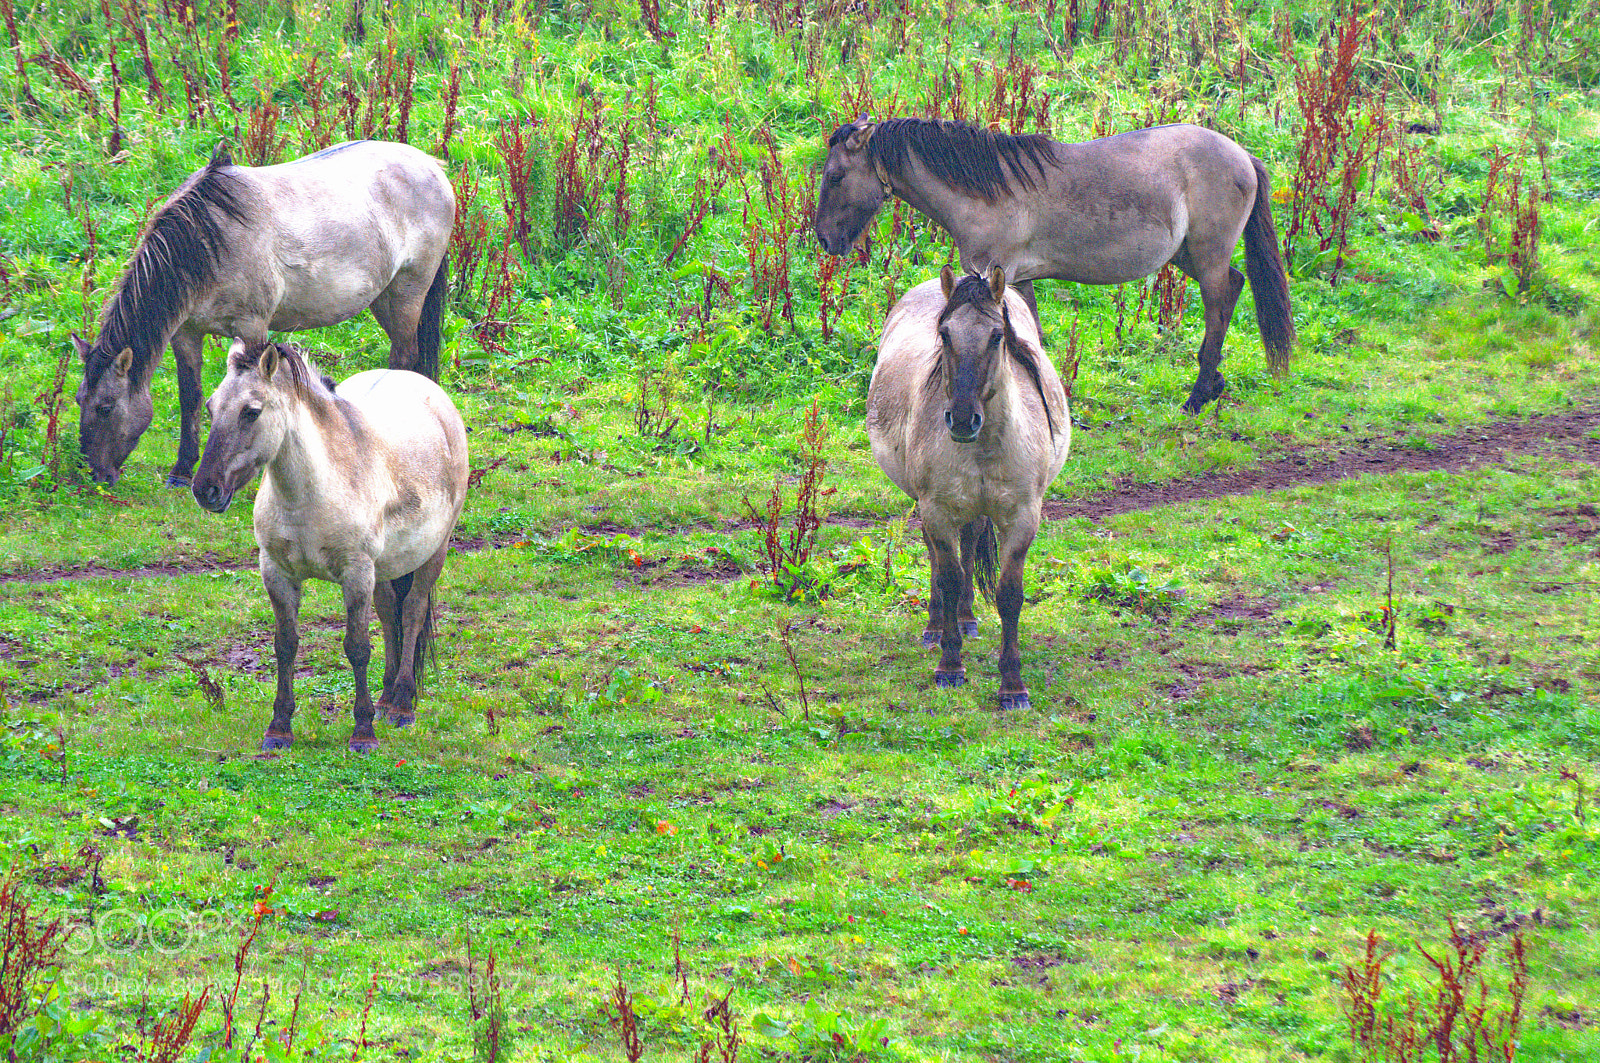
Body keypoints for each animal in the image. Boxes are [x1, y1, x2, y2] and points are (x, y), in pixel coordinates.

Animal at [73, 139, 455, 487]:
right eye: (79, 400)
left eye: (105, 407)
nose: (97, 475)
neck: (208, 241)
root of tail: (434, 167)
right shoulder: (187, 333)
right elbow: (189, 396)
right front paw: (182, 470)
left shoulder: (252, 327)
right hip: (384, 299)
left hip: (407, 293)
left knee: (404, 357)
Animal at [191, 340, 468, 753]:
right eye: (211, 407)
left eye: (251, 412)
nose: (205, 490)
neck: (310, 494)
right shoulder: (277, 573)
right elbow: (286, 644)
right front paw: (279, 728)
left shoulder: (356, 575)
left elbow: (357, 647)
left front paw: (363, 732)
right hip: (385, 567)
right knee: (389, 613)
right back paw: (386, 699)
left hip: (433, 552)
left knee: (412, 613)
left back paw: (402, 705)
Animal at [816, 117, 1295, 414]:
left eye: (836, 177)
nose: (824, 239)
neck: (984, 192)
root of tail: (1243, 156)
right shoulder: (1017, 280)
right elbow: (1034, 337)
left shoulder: (994, 277)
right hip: (1190, 255)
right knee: (1235, 286)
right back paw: (1213, 386)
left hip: (1207, 257)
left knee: (1218, 307)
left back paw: (1196, 398)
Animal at [868, 265, 1071, 709]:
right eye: (944, 334)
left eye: (997, 335)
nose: (962, 419)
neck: (984, 448)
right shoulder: (938, 510)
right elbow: (949, 576)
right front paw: (950, 667)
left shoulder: (1021, 517)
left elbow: (1009, 595)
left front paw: (1012, 686)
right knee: (939, 557)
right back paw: (936, 627)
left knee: (972, 538)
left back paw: (966, 619)